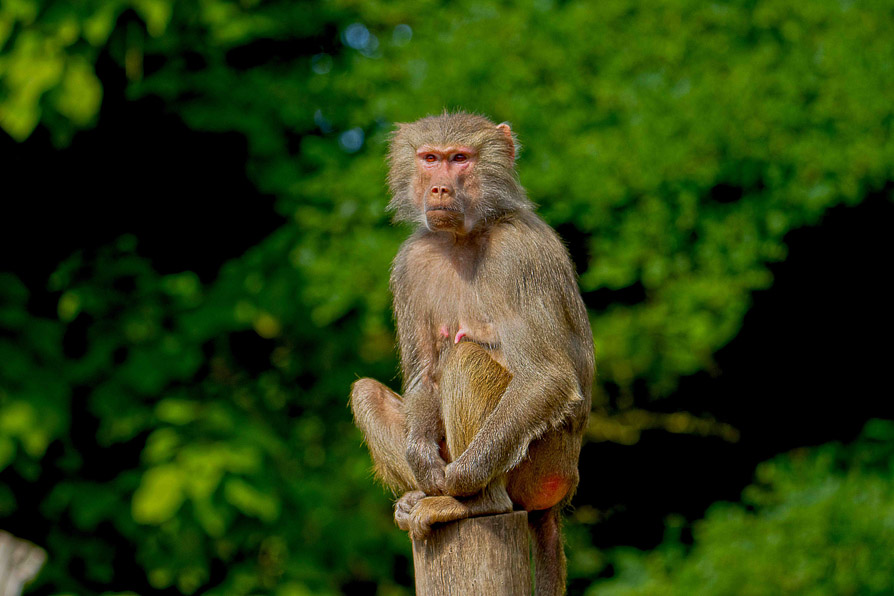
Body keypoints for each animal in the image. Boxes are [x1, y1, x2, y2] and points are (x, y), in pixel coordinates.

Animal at [350, 112, 594, 595]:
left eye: (460, 159)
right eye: (430, 158)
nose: (439, 190)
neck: (465, 235)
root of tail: (563, 489)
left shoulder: (518, 254)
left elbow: (546, 375)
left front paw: (459, 482)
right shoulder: (409, 262)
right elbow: (424, 372)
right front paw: (422, 462)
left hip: (543, 464)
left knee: (465, 360)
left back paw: (475, 503)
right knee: (367, 391)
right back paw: (418, 496)